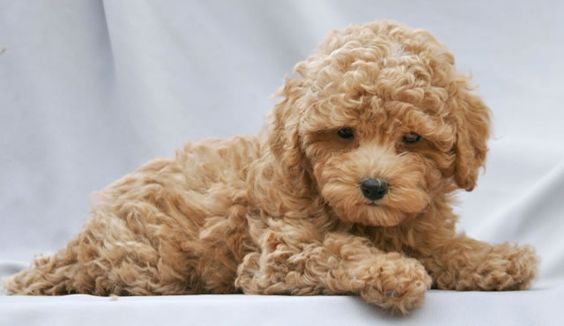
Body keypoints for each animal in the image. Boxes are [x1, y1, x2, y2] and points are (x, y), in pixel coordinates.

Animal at [3, 21, 536, 314]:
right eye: (345, 133)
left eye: (411, 139)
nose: (373, 186)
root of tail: (84, 235)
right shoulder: (278, 253)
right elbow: (337, 250)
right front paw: (391, 271)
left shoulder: (421, 226)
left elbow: (448, 248)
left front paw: (498, 259)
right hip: (149, 262)